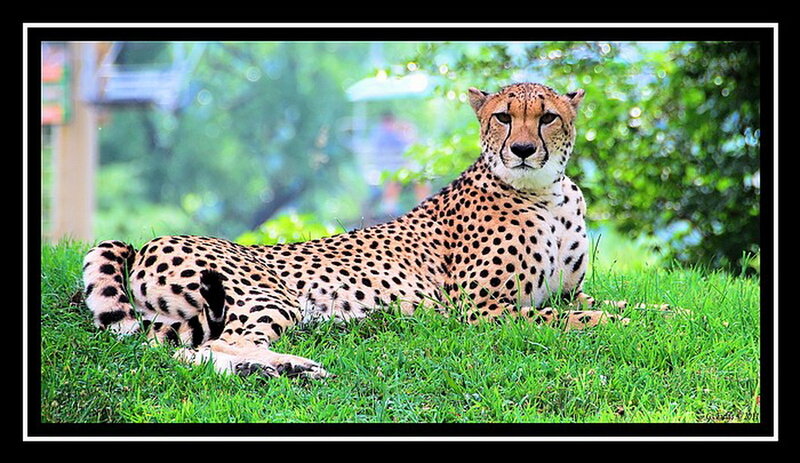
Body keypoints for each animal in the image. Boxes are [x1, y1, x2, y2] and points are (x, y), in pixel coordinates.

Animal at [82, 82, 651, 380]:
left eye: (548, 117)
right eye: (504, 117)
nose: (524, 149)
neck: (545, 191)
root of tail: (144, 243)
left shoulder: (566, 292)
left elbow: (632, 305)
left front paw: (662, 314)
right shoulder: (484, 310)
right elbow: (580, 320)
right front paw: (625, 326)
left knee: (196, 351)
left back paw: (287, 369)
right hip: (269, 297)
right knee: (208, 350)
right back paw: (294, 367)